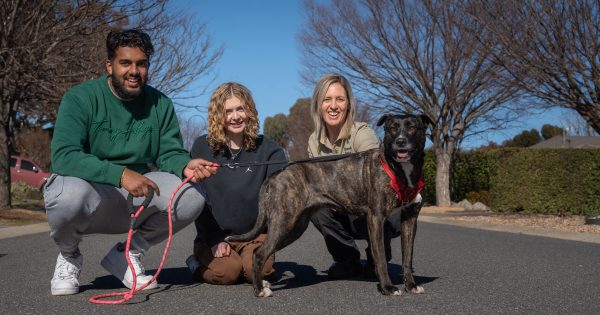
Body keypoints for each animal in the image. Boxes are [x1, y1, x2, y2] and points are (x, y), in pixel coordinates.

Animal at [225, 115, 432, 298]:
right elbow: (380, 257)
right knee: (259, 254)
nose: (400, 141)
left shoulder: (410, 220)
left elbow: (407, 257)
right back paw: (259, 290)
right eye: (392, 128)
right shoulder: (376, 219)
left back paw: (262, 284)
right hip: (284, 223)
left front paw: (411, 285)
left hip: (295, 227)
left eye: (412, 127)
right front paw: (388, 288)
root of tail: (275, 175)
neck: (399, 170)